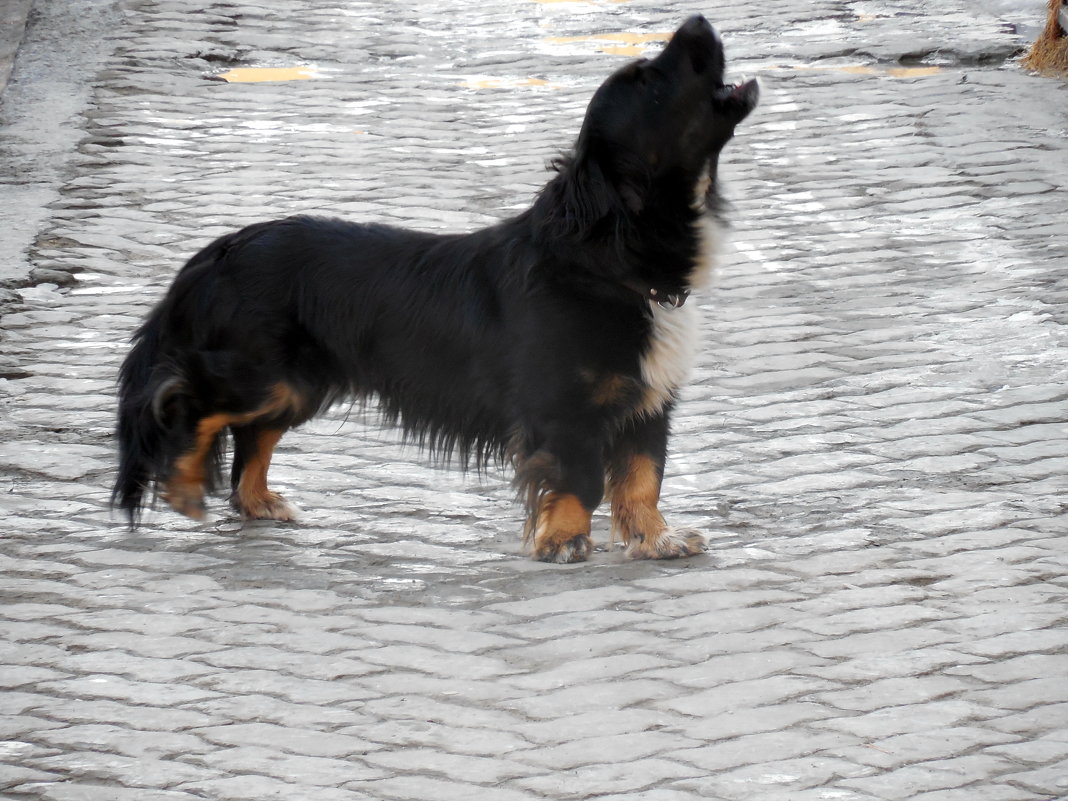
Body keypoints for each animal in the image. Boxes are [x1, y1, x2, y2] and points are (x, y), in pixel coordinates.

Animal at [112, 14, 756, 563]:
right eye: (648, 79)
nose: (699, 21)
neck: (604, 261)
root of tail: (220, 251)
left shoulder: (649, 403)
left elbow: (643, 477)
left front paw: (655, 539)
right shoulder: (562, 407)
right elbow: (583, 479)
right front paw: (564, 541)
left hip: (294, 385)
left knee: (251, 437)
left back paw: (259, 502)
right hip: (263, 374)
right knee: (184, 397)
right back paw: (183, 487)